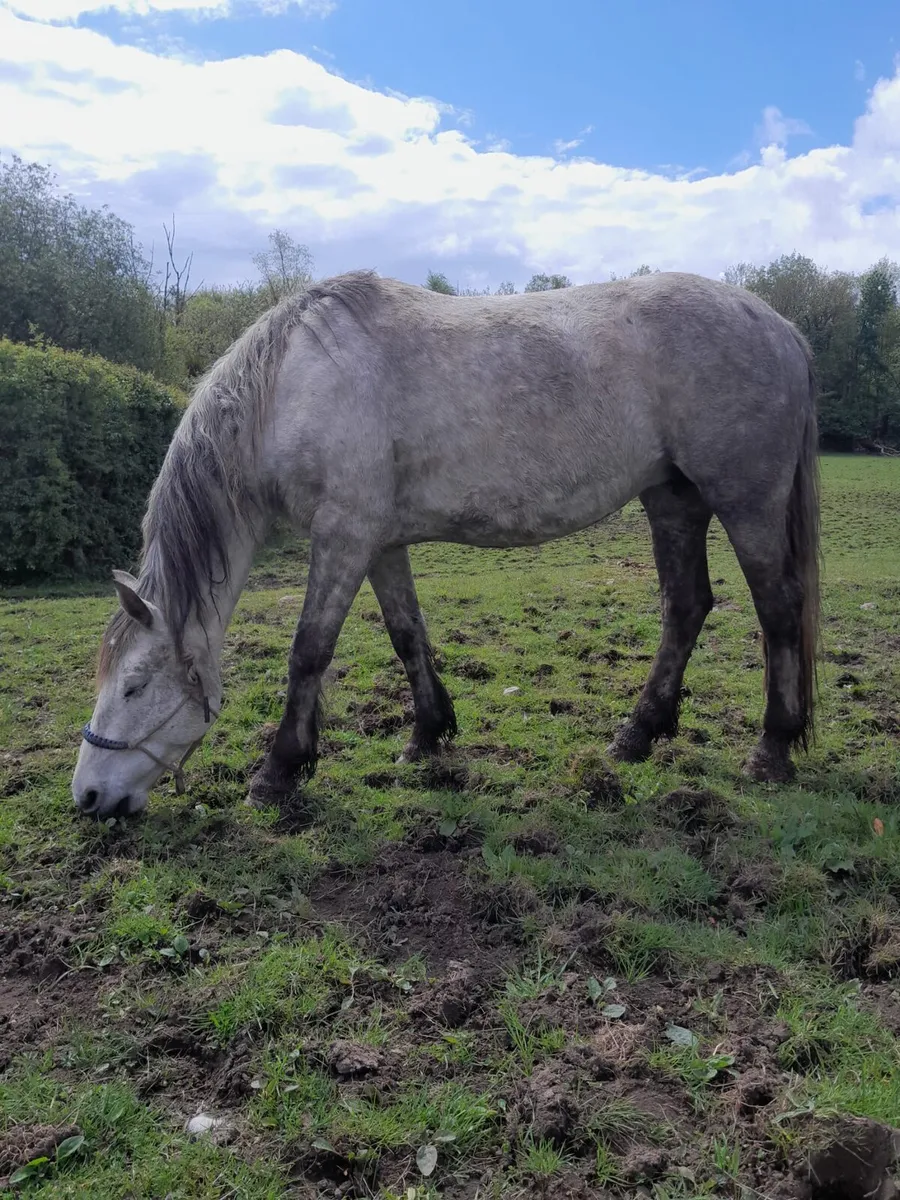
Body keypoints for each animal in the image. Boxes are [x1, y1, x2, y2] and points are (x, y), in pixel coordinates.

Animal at [72, 270, 820, 820]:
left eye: (135, 687)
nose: (89, 797)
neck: (292, 385)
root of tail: (778, 324)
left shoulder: (343, 534)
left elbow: (308, 651)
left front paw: (278, 773)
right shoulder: (377, 542)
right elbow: (407, 634)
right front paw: (427, 736)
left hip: (744, 501)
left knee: (778, 610)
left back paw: (772, 750)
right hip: (673, 499)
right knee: (686, 607)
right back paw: (637, 734)